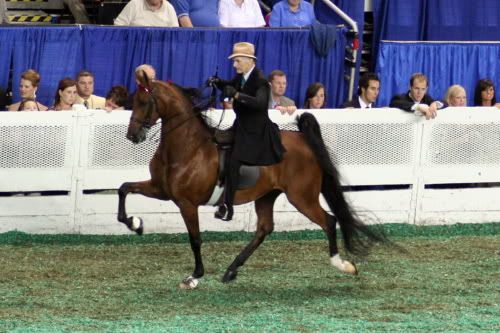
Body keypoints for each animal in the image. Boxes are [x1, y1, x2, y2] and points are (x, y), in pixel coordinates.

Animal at [117, 75, 382, 288]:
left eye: (144, 102)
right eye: (132, 101)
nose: (132, 135)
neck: (187, 146)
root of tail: (303, 140)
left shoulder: (186, 203)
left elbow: (195, 239)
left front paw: (194, 276)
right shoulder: (161, 189)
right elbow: (124, 189)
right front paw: (135, 224)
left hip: (302, 197)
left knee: (329, 221)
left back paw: (343, 265)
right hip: (267, 195)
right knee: (264, 229)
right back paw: (231, 270)